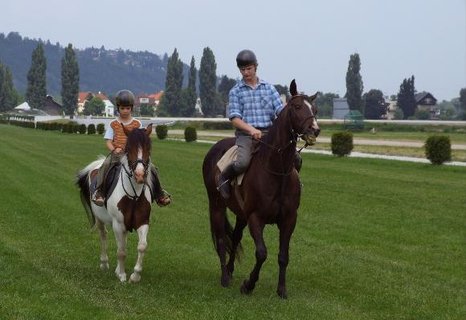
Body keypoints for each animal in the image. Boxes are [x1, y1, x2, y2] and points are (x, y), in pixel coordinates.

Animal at [77, 124, 156, 282]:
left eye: (148, 147)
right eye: (128, 148)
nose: (139, 175)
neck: (133, 195)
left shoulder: (142, 222)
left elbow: (142, 246)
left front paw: (135, 275)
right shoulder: (118, 224)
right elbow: (121, 251)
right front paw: (122, 275)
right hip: (100, 219)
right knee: (103, 236)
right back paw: (104, 264)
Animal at [202, 79, 318, 298]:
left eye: (314, 109)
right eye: (297, 107)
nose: (314, 130)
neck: (276, 172)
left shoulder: (289, 219)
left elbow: (283, 255)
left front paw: (282, 290)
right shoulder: (256, 218)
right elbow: (262, 253)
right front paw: (248, 284)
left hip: (241, 214)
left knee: (235, 238)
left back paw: (230, 270)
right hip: (216, 205)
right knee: (221, 240)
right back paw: (224, 277)